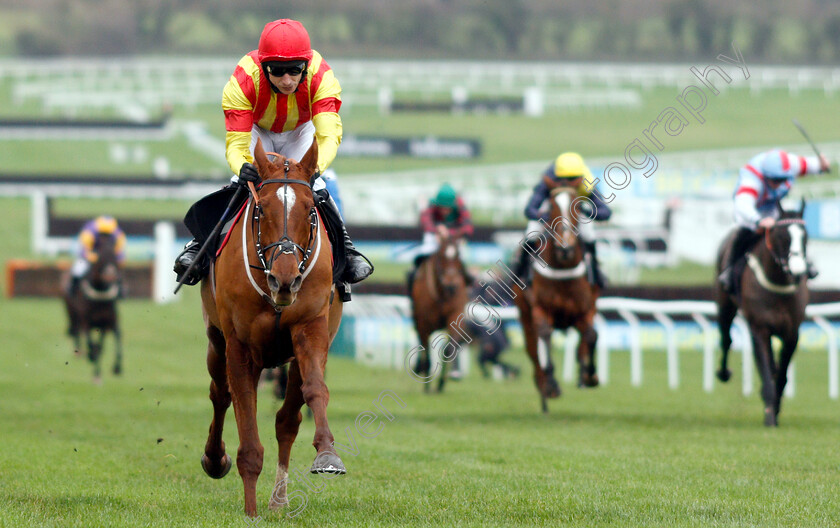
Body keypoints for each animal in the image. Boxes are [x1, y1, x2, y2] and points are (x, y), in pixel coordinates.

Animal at [64, 233, 123, 382]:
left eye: (114, 256)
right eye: (100, 256)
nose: (110, 276)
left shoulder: (104, 322)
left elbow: (101, 346)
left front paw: (112, 369)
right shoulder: (86, 321)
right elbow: (92, 344)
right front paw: (94, 366)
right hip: (72, 313)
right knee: (76, 331)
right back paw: (81, 353)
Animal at [200, 139, 344, 516]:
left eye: (310, 210)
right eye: (262, 209)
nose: (285, 280)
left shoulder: (311, 329)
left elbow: (315, 390)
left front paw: (327, 454)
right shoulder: (239, 345)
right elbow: (246, 428)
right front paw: (250, 511)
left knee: (286, 420)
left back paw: (279, 499)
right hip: (216, 340)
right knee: (220, 394)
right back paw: (215, 459)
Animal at [408, 230, 470, 392]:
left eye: (458, 256)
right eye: (442, 256)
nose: (452, 285)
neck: (443, 294)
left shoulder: (455, 316)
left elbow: (448, 349)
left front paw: (441, 383)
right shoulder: (424, 322)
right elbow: (427, 351)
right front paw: (427, 385)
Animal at [508, 186, 600, 412]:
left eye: (579, 206)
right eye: (551, 206)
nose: (565, 248)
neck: (563, 268)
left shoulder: (586, 310)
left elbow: (591, 336)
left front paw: (590, 376)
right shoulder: (540, 310)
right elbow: (545, 338)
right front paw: (551, 384)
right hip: (525, 317)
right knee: (534, 352)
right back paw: (544, 393)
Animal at [712, 200, 812, 426]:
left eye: (805, 236)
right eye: (782, 236)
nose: (799, 270)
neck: (778, 284)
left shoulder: (792, 333)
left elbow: (782, 376)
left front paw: (776, 409)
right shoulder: (759, 329)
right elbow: (766, 374)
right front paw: (769, 415)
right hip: (724, 303)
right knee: (726, 339)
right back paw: (723, 372)